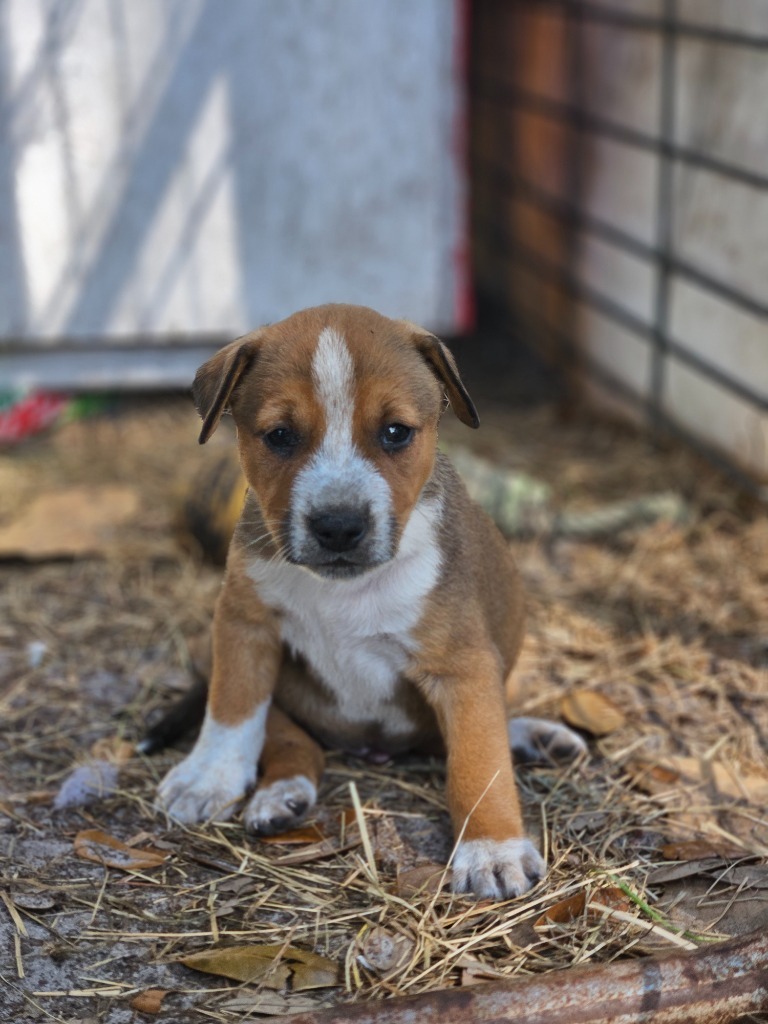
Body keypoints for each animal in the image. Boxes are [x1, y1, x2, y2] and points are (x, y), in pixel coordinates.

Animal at [159, 301, 585, 897]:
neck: (344, 589)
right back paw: (282, 792)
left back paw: (532, 736)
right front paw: (209, 777)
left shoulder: (464, 665)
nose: (338, 526)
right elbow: (234, 706)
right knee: (291, 736)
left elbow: (479, 758)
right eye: (280, 436)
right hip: (208, 645)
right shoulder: (242, 625)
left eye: (395, 433)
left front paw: (492, 848)